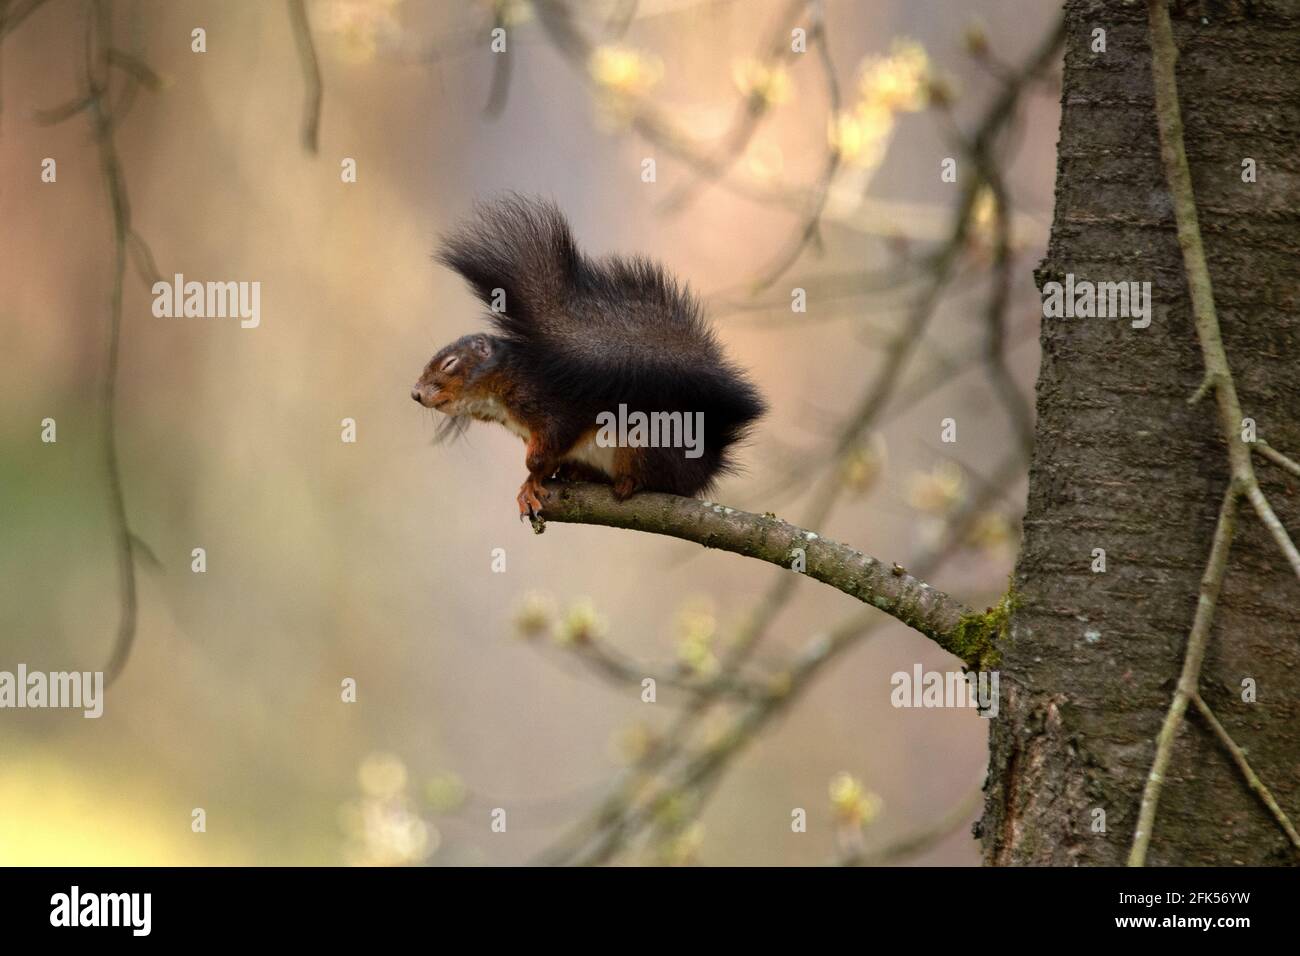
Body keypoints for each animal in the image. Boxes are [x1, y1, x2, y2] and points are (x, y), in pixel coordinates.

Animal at [412, 195, 766, 520]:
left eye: (449, 364)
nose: (415, 393)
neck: (501, 387)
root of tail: (707, 463)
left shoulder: (555, 409)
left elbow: (546, 449)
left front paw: (531, 474)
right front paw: (531, 484)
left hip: (645, 442)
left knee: (662, 479)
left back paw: (629, 483)